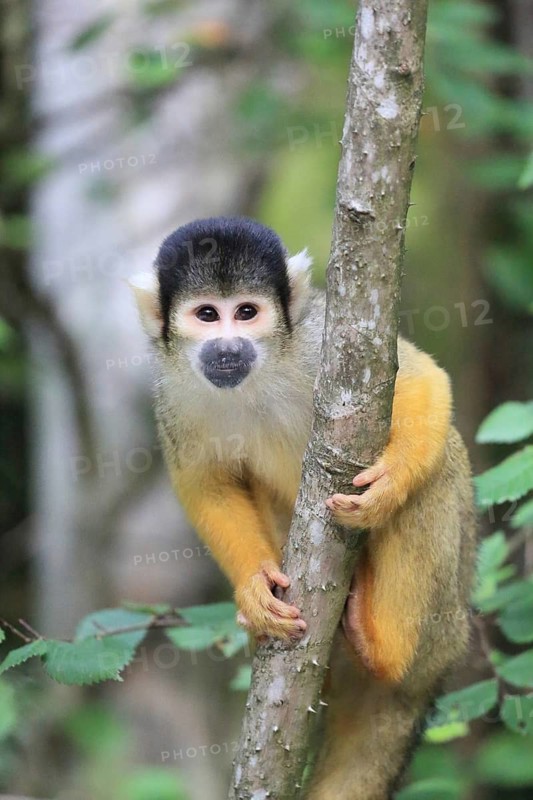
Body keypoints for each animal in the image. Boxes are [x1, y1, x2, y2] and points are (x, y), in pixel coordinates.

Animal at [130, 216, 476, 800]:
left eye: (247, 312)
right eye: (207, 315)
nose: (229, 347)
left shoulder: (318, 340)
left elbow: (425, 378)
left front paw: (388, 487)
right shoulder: (171, 392)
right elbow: (207, 483)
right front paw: (253, 587)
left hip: (445, 628)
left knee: (440, 465)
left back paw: (385, 650)